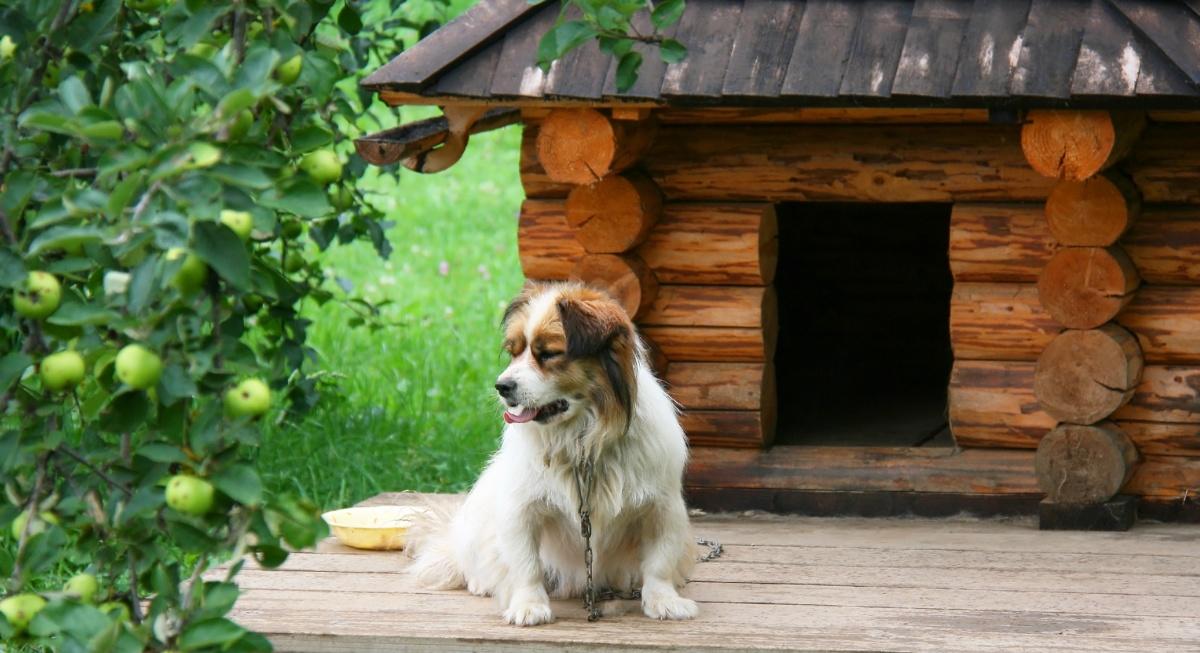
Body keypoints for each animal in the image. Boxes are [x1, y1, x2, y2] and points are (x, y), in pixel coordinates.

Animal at [408, 282, 700, 628]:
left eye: (547, 354)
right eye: (514, 352)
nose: (501, 386)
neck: (583, 439)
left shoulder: (663, 508)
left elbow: (659, 561)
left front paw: (663, 599)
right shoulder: (521, 510)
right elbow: (526, 564)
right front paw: (529, 605)